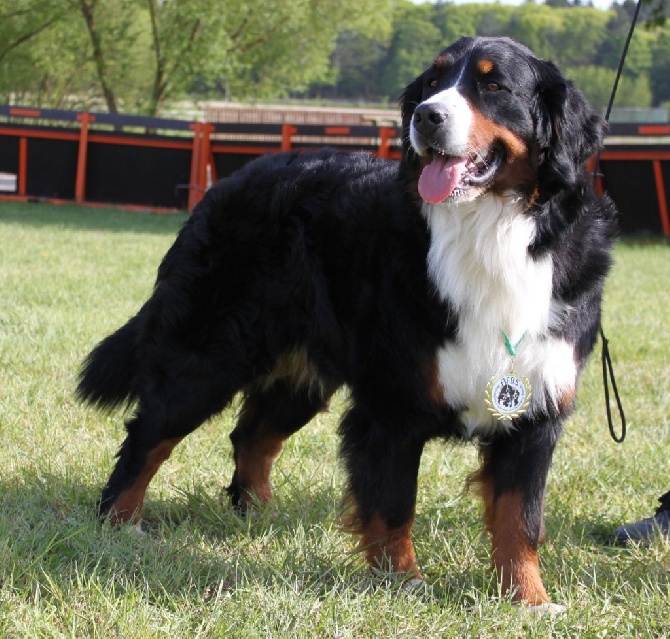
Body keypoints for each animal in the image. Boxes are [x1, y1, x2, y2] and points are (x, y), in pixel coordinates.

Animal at [79, 37, 620, 608]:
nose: (427, 117)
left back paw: (258, 515)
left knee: (251, 436)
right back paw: (121, 523)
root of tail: (234, 178)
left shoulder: (534, 409)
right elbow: (393, 503)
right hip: (204, 360)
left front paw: (528, 599)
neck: (490, 231)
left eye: (493, 85)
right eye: (432, 84)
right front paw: (402, 584)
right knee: (148, 436)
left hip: (300, 376)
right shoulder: (392, 404)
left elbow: (521, 516)